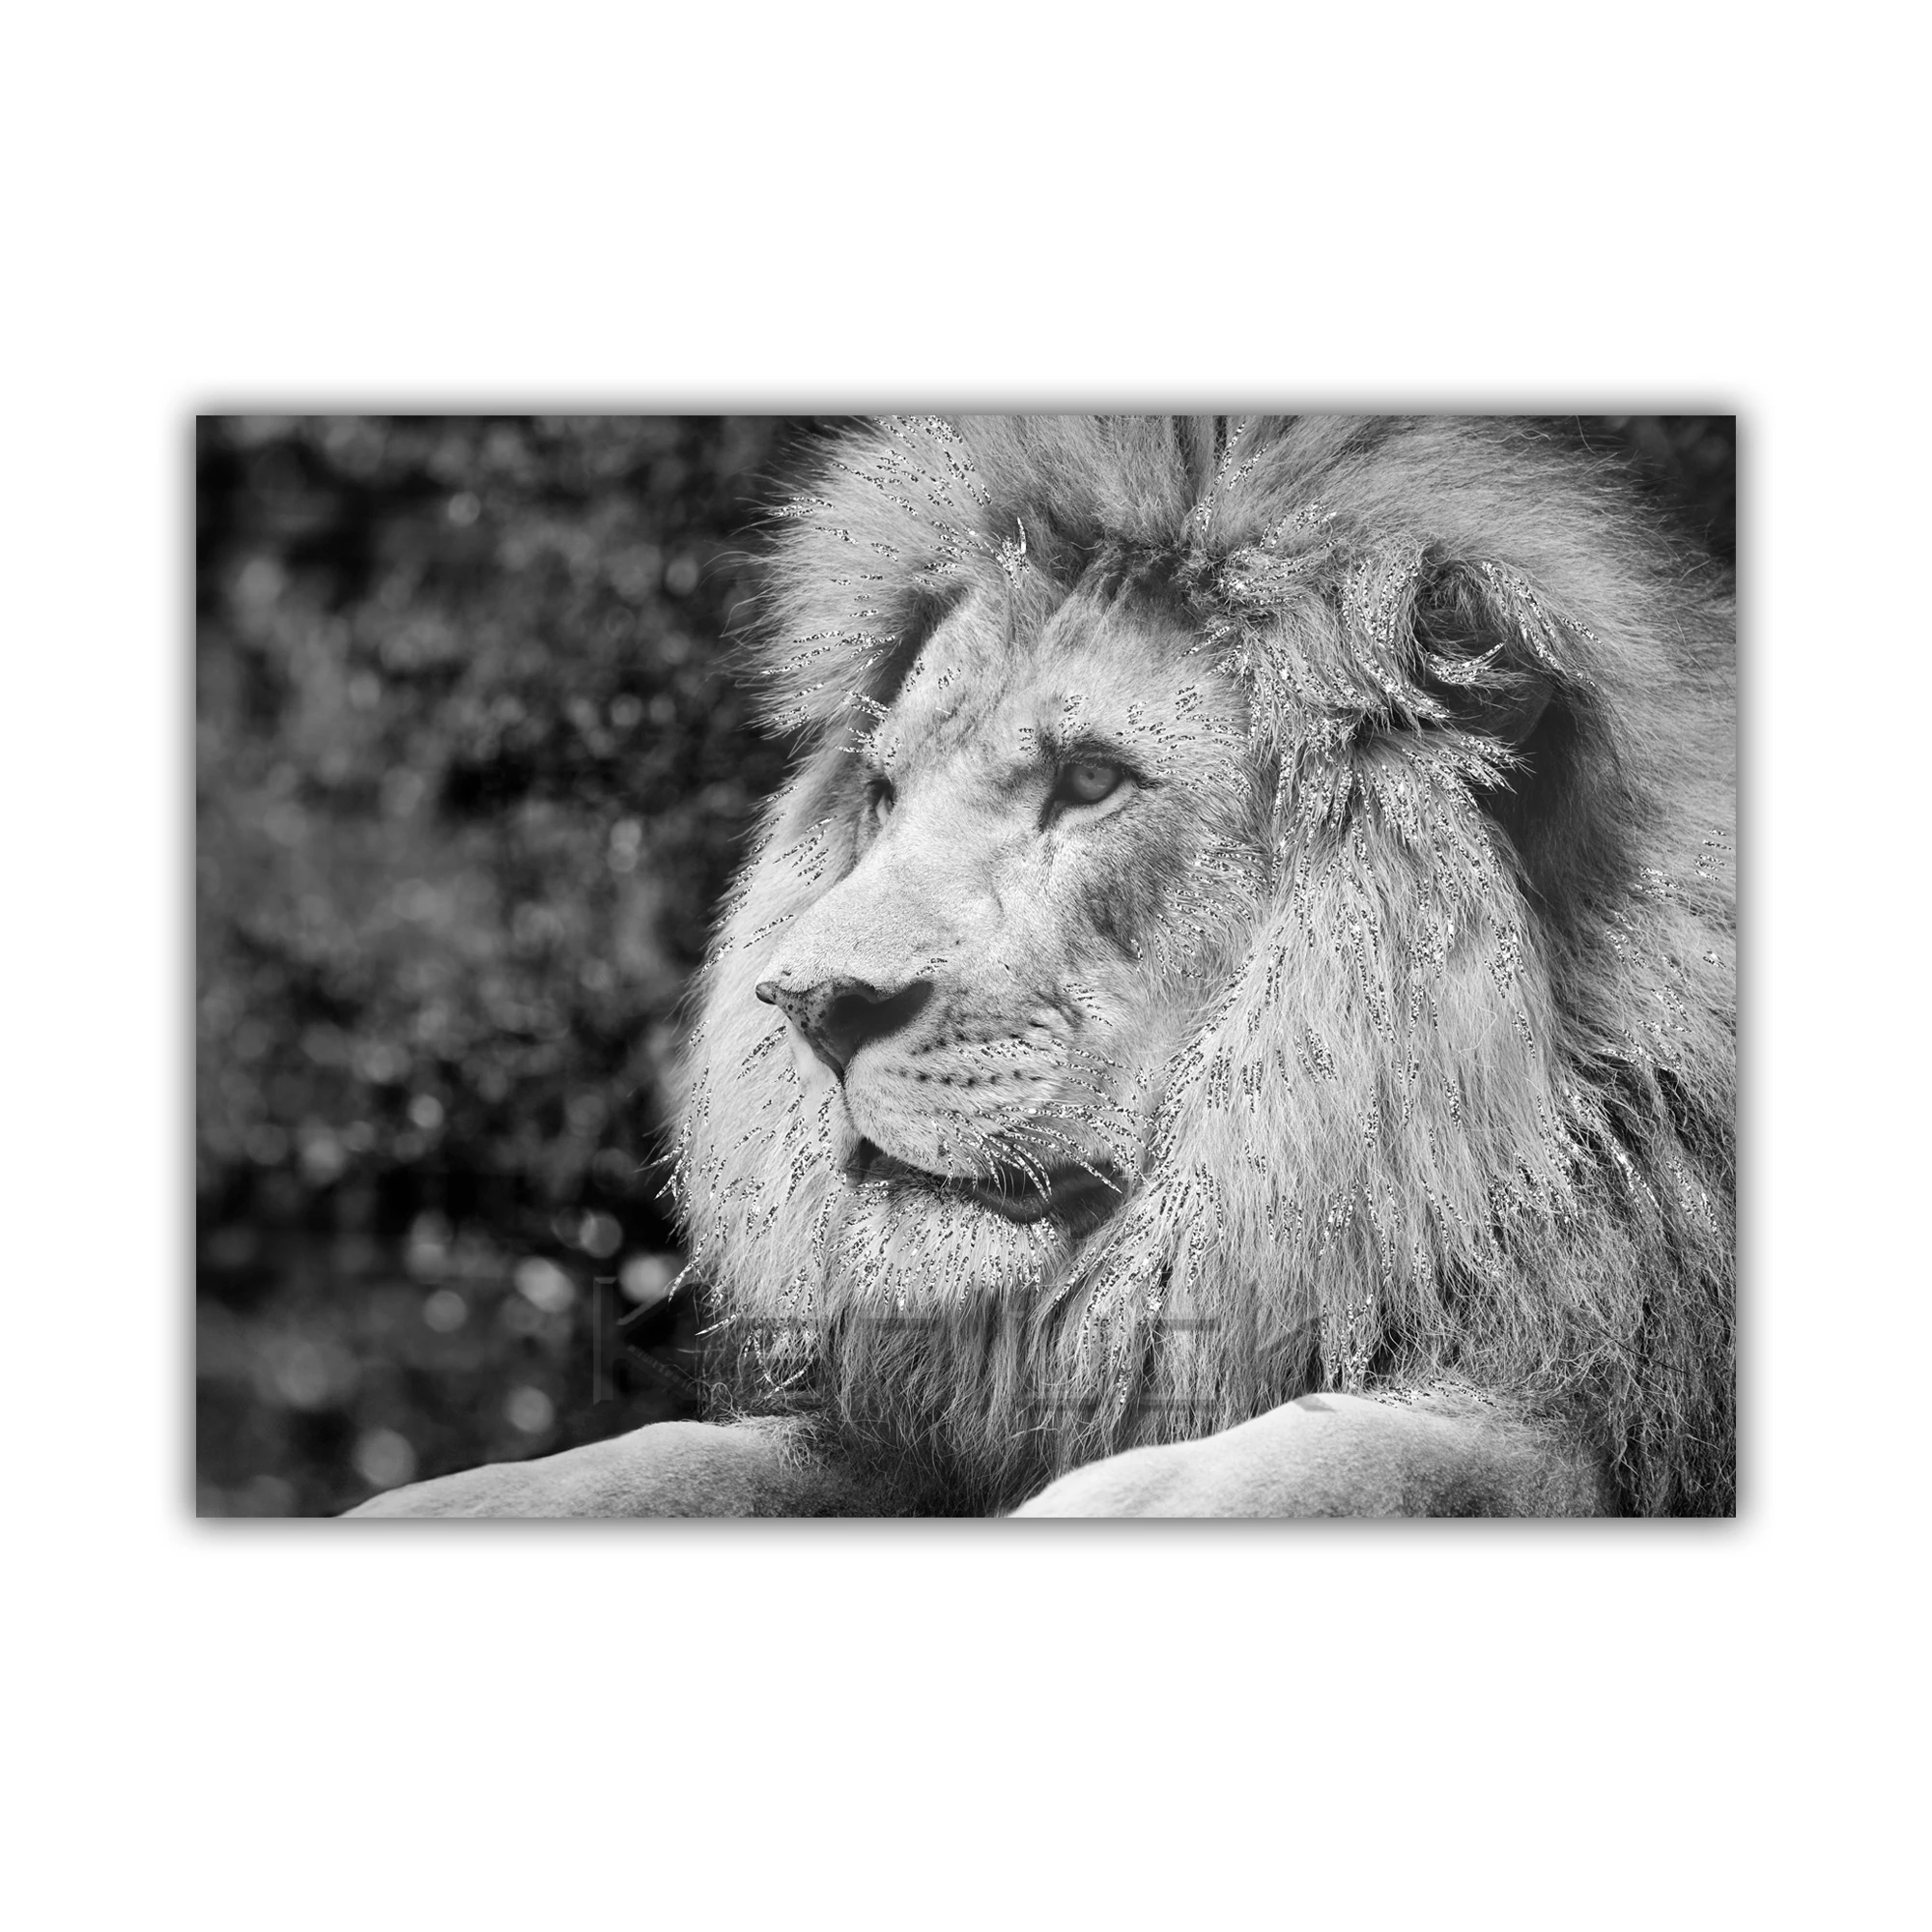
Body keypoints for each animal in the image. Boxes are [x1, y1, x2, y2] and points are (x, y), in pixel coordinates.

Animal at [350, 414, 1735, 1518]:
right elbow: (662, 1463)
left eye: (1090, 780)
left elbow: (1365, 1457)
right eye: (883, 793)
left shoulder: (1604, 1404)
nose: (810, 1006)